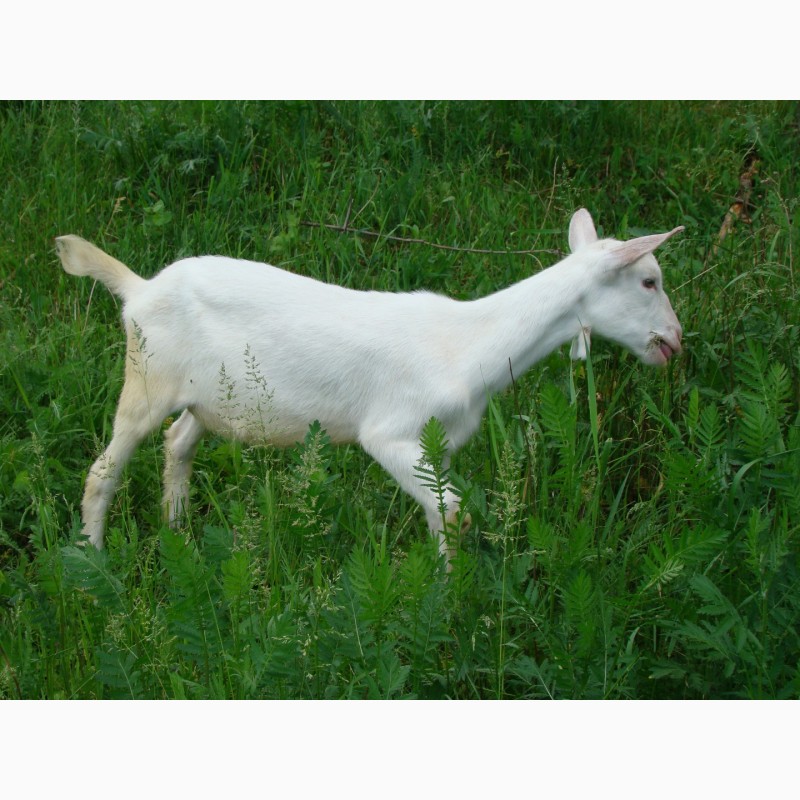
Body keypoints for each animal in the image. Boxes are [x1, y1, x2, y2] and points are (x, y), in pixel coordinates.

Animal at [55, 208, 683, 566]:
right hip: (147, 378)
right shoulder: (390, 432)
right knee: (104, 469)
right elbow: (456, 514)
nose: (676, 341)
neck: (468, 342)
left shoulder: (439, 443)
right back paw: (94, 560)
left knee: (179, 441)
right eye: (649, 281)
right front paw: (449, 603)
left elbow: (442, 516)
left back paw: (178, 529)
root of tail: (137, 289)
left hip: (210, 398)